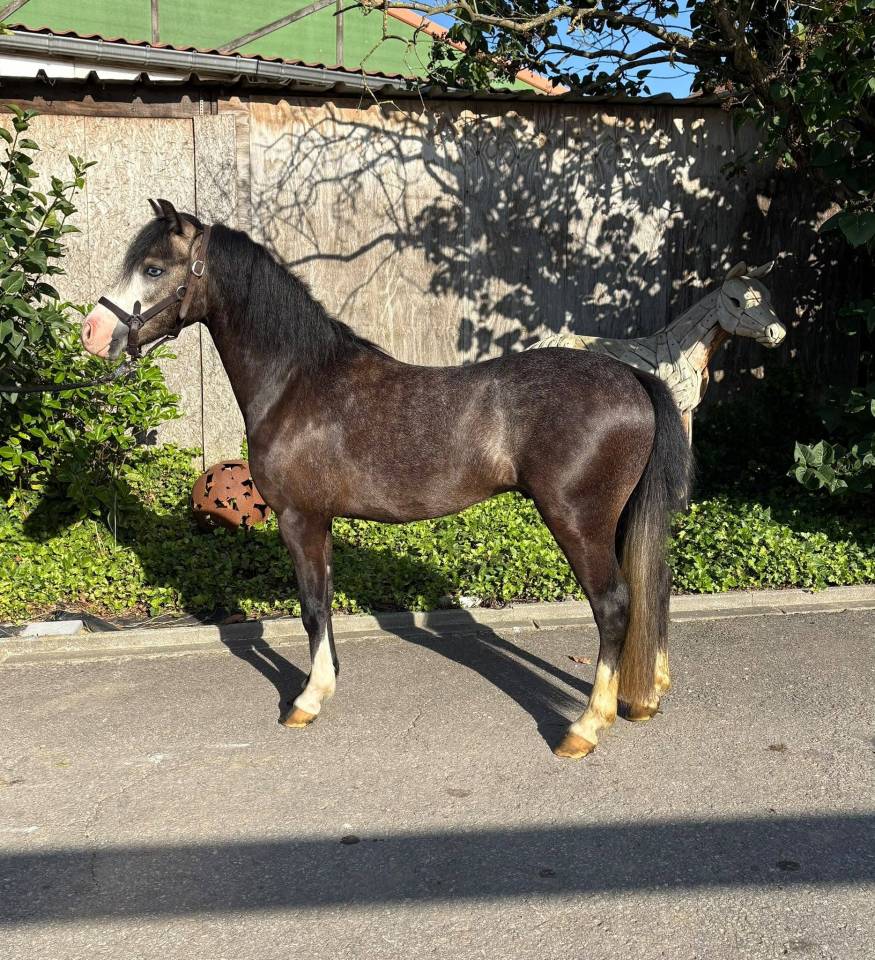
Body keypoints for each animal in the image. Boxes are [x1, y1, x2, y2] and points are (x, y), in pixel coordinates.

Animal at [80, 199, 691, 760]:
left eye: (154, 268)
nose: (92, 332)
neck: (297, 382)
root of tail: (632, 378)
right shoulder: (320, 521)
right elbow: (323, 601)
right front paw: (324, 680)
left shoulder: (299, 519)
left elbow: (312, 605)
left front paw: (306, 700)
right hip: (617, 519)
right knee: (653, 588)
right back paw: (645, 698)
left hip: (578, 521)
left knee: (614, 605)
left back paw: (585, 727)